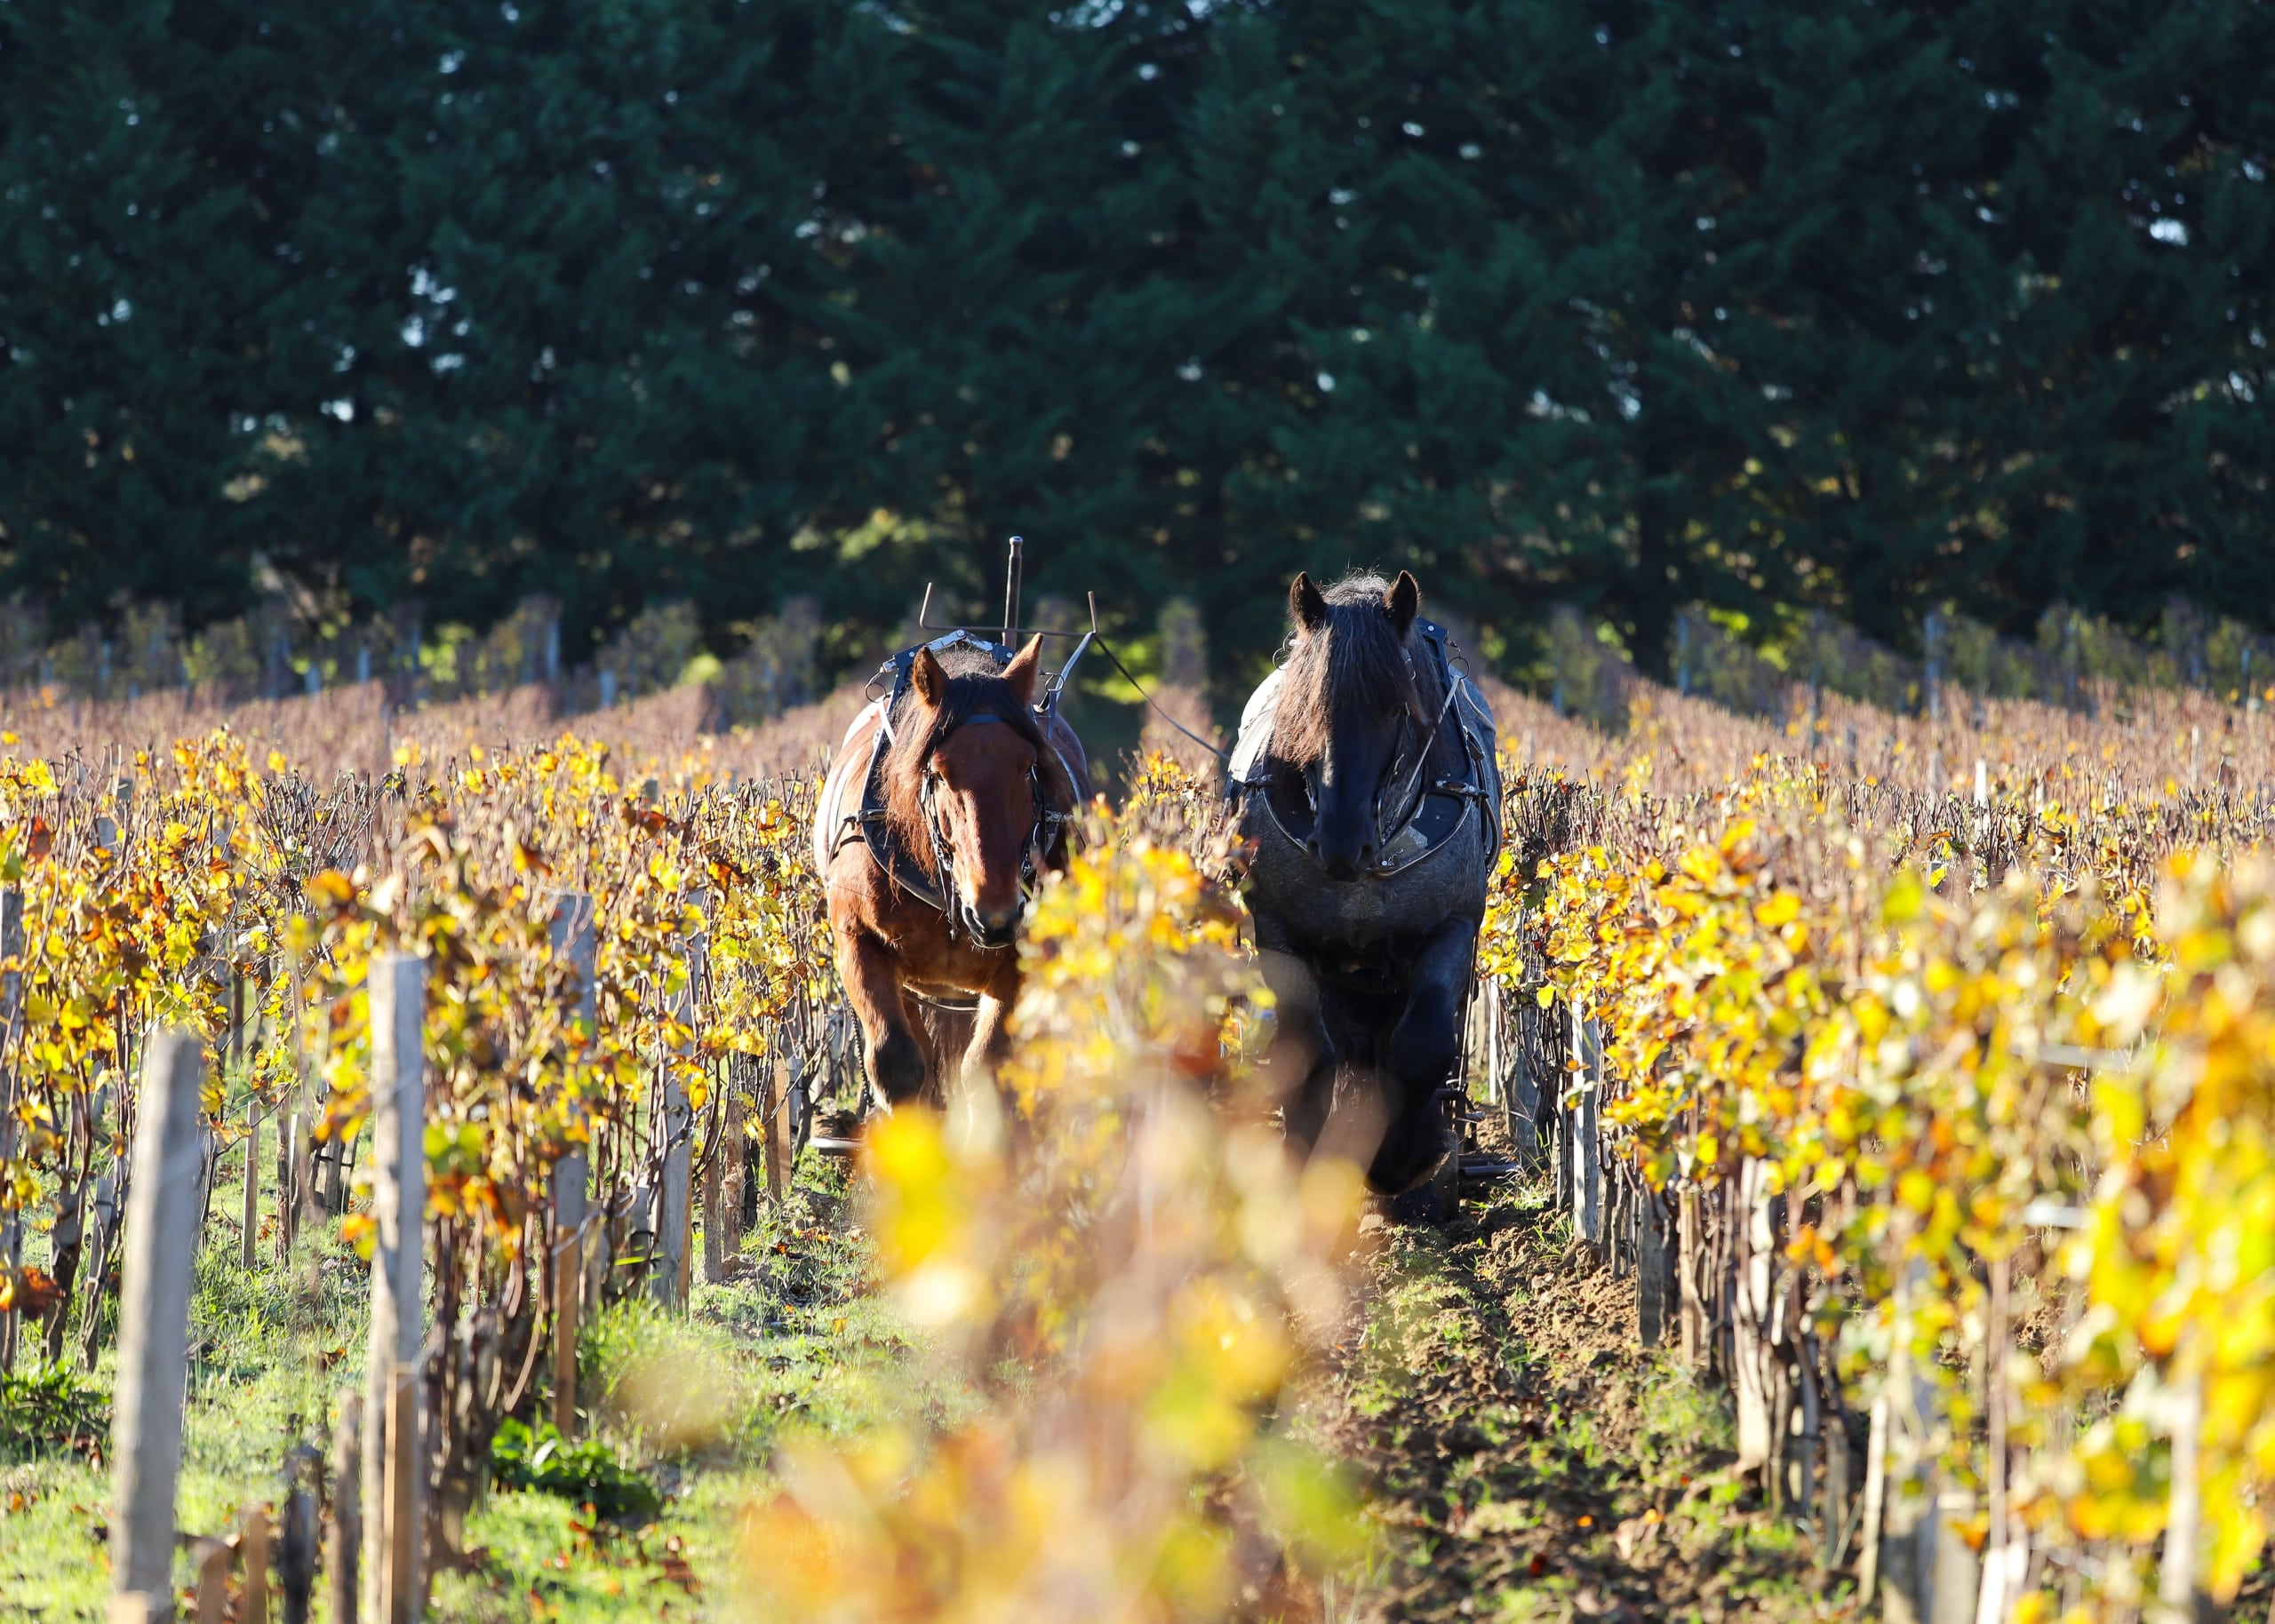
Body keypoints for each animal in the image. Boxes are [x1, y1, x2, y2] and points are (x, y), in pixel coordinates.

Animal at [815, 633, 1090, 1109]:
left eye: (1028, 766)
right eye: (939, 772)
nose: (996, 914)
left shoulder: (1023, 956)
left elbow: (988, 1070)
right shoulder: (857, 940)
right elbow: (898, 1064)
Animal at [1228, 569, 1501, 1207]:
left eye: (1395, 708)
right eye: (1304, 706)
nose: (1340, 842)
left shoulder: (1452, 927)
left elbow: (1422, 1043)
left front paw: (1401, 1159)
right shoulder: (1278, 932)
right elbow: (1309, 1047)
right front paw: (1305, 1153)